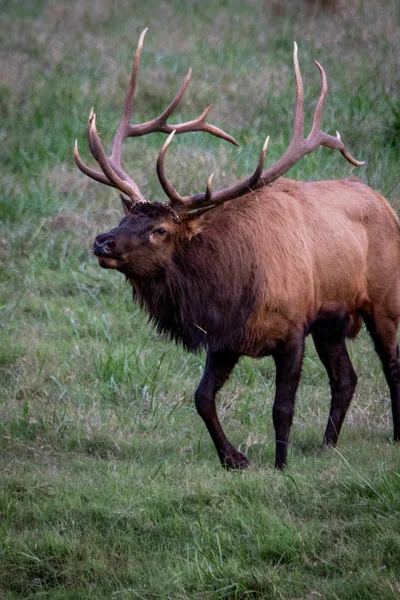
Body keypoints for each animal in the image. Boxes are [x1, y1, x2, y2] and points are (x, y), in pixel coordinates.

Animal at [74, 30, 400, 472]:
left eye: (160, 230)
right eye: (125, 218)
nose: (102, 241)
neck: (234, 288)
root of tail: (386, 205)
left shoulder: (293, 327)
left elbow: (282, 408)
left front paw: (280, 466)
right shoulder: (225, 338)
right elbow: (202, 398)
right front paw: (235, 458)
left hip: (384, 300)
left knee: (390, 365)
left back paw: (393, 436)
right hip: (331, 320)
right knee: (346, 377)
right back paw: (326, 445)